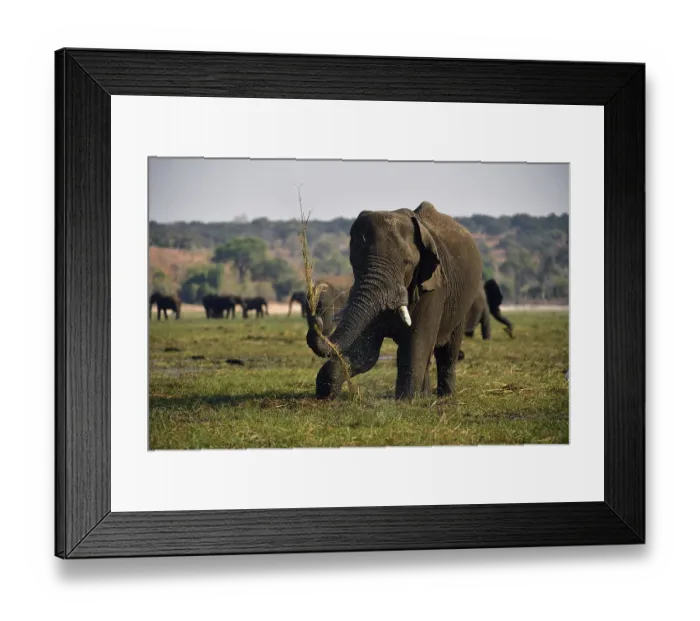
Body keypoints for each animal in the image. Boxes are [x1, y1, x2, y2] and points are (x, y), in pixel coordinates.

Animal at [305, 201, 483, 400]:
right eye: (355, 262)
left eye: (406, 263)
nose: (316, 319)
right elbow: (366, 352)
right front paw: (326, 393)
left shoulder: (433, 287)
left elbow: (416, 344)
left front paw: (406, 400)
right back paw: (426, 397)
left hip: (462, 302)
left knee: (448, 352)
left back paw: (445, 398)